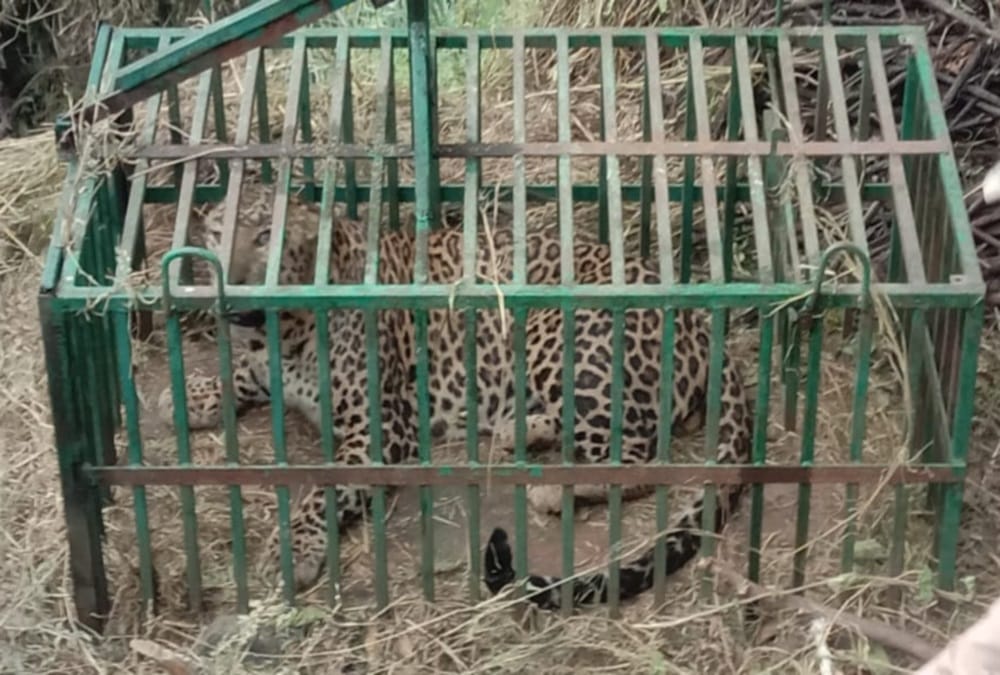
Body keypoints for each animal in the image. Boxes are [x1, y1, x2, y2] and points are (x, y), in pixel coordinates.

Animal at [158, 182, 754, 611]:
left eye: (267, 237)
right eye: (216, 235)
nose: (232, 286)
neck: (278, 328)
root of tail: (704, 321)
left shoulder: (380, 427)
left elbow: (322, 491)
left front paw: (295, 551)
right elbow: (244, 375)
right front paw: (194, 395)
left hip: (558, 338)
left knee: (637, 458)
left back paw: (554, 491)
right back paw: (518, 430)